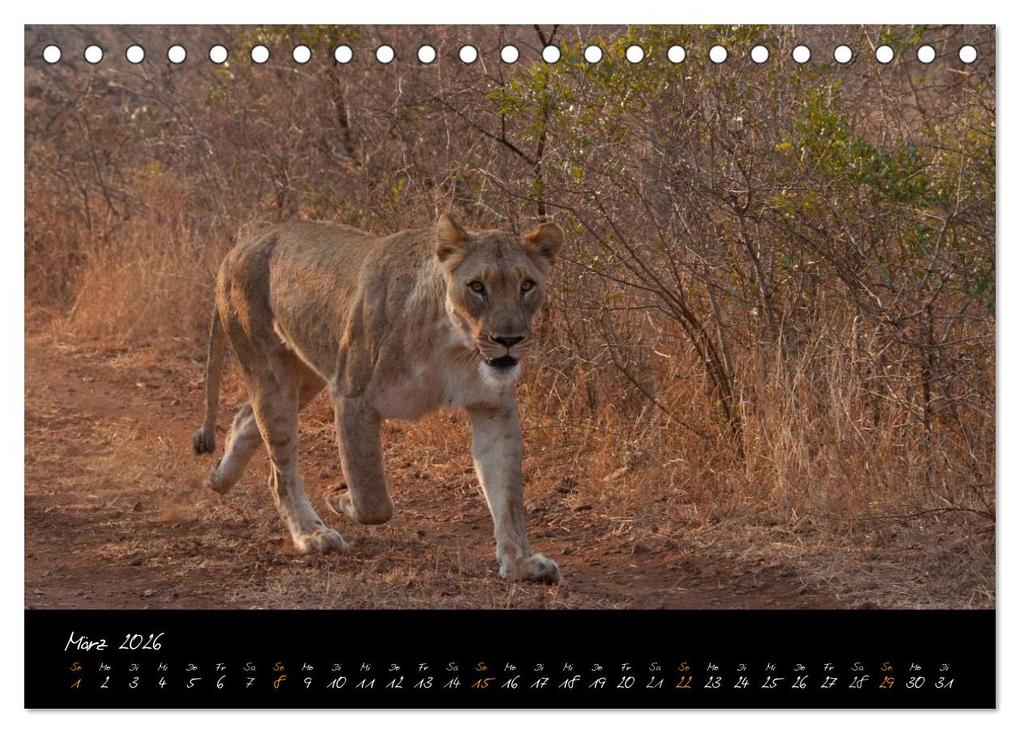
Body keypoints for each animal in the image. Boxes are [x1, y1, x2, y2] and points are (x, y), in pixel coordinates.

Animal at [191, 214, 563, 583]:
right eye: (476, 287)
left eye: (526, 285)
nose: (509, 340)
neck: (455, 346)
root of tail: (241, 246)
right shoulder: (352, 395)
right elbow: (373, 499)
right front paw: (339, 497)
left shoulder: (493, 407)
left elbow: (507, 494)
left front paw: (520, 563)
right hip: (272, 369)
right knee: (280, 471)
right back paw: (312, 534)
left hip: (307, 372)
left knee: (246, 419)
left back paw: (219, 478)